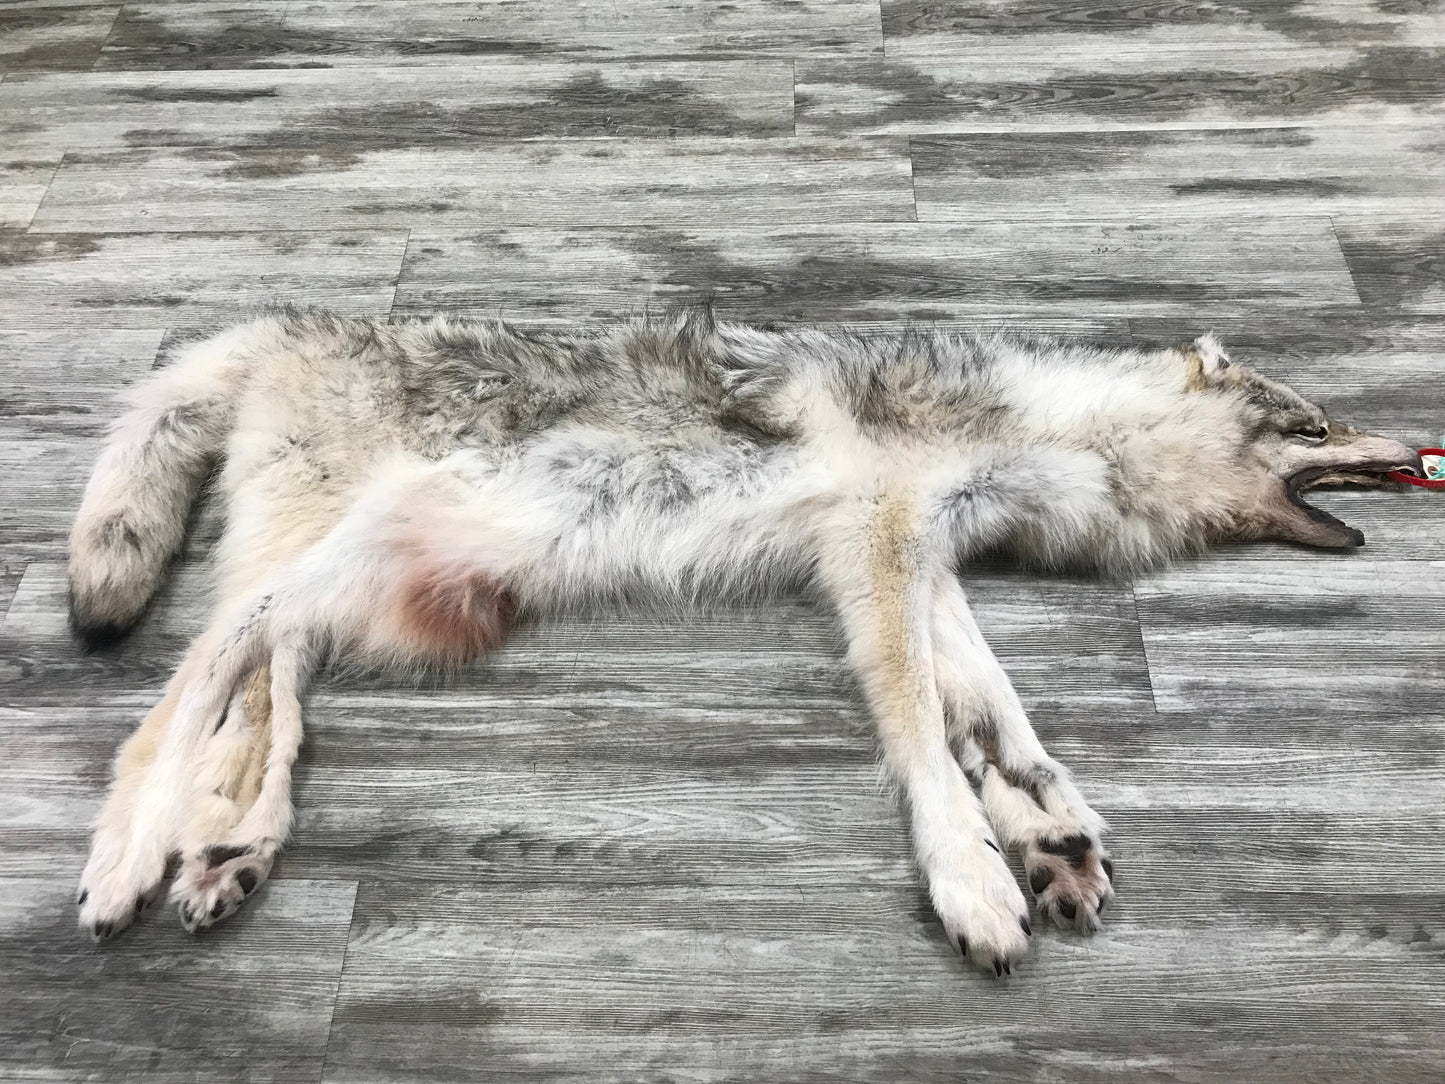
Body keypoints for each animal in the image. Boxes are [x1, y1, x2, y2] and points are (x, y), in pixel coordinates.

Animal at [68, 307, 1422, 975]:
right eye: (1315, 423)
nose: (1417, 448)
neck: (1044, 432)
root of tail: (283, 332)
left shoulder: (915, 566)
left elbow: (993, 716)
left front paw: (1048, 831)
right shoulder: (878, 549)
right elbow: (924, 739)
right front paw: (974, 878)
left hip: (353, 581)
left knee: (259, 687)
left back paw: (226, 845)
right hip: (327, 559)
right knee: (182, 693)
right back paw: (134, 856)